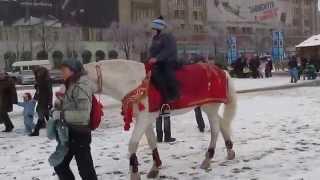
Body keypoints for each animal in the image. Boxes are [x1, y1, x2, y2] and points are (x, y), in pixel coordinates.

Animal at [85, 59, 238, 179]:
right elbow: (152, 141)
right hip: (209, 108)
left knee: (215, 130)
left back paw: (208, 158)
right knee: (222, 123)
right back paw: (229, 151)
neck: (132, 82)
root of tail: (222, 71)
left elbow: (133, 144)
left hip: (210, 107)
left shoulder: (143, 119)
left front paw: (135, 173)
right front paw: (155, 167)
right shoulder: (145, 120)